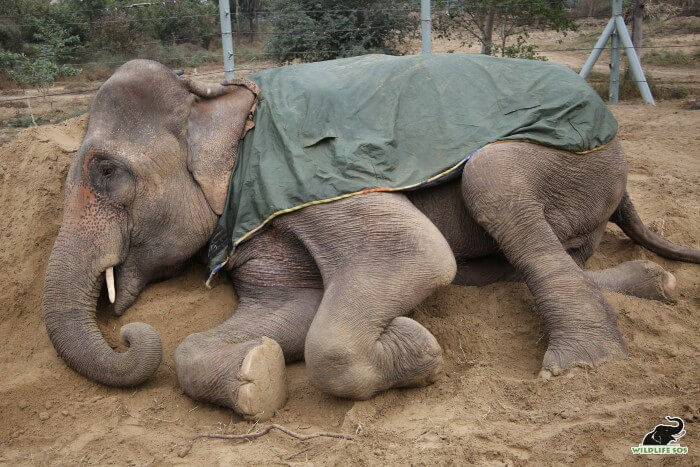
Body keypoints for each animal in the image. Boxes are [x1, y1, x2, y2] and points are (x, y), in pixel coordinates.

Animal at [45, 57, 700, 420]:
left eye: (106, 171)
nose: (129, 334)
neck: (213, 96)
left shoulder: (311, 179)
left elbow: (412, 257)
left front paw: (418, 347)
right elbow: (291, 307)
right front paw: (258, 375)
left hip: (574, 161)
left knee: (492, 179)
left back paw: (581, 364)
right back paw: (656, 284)